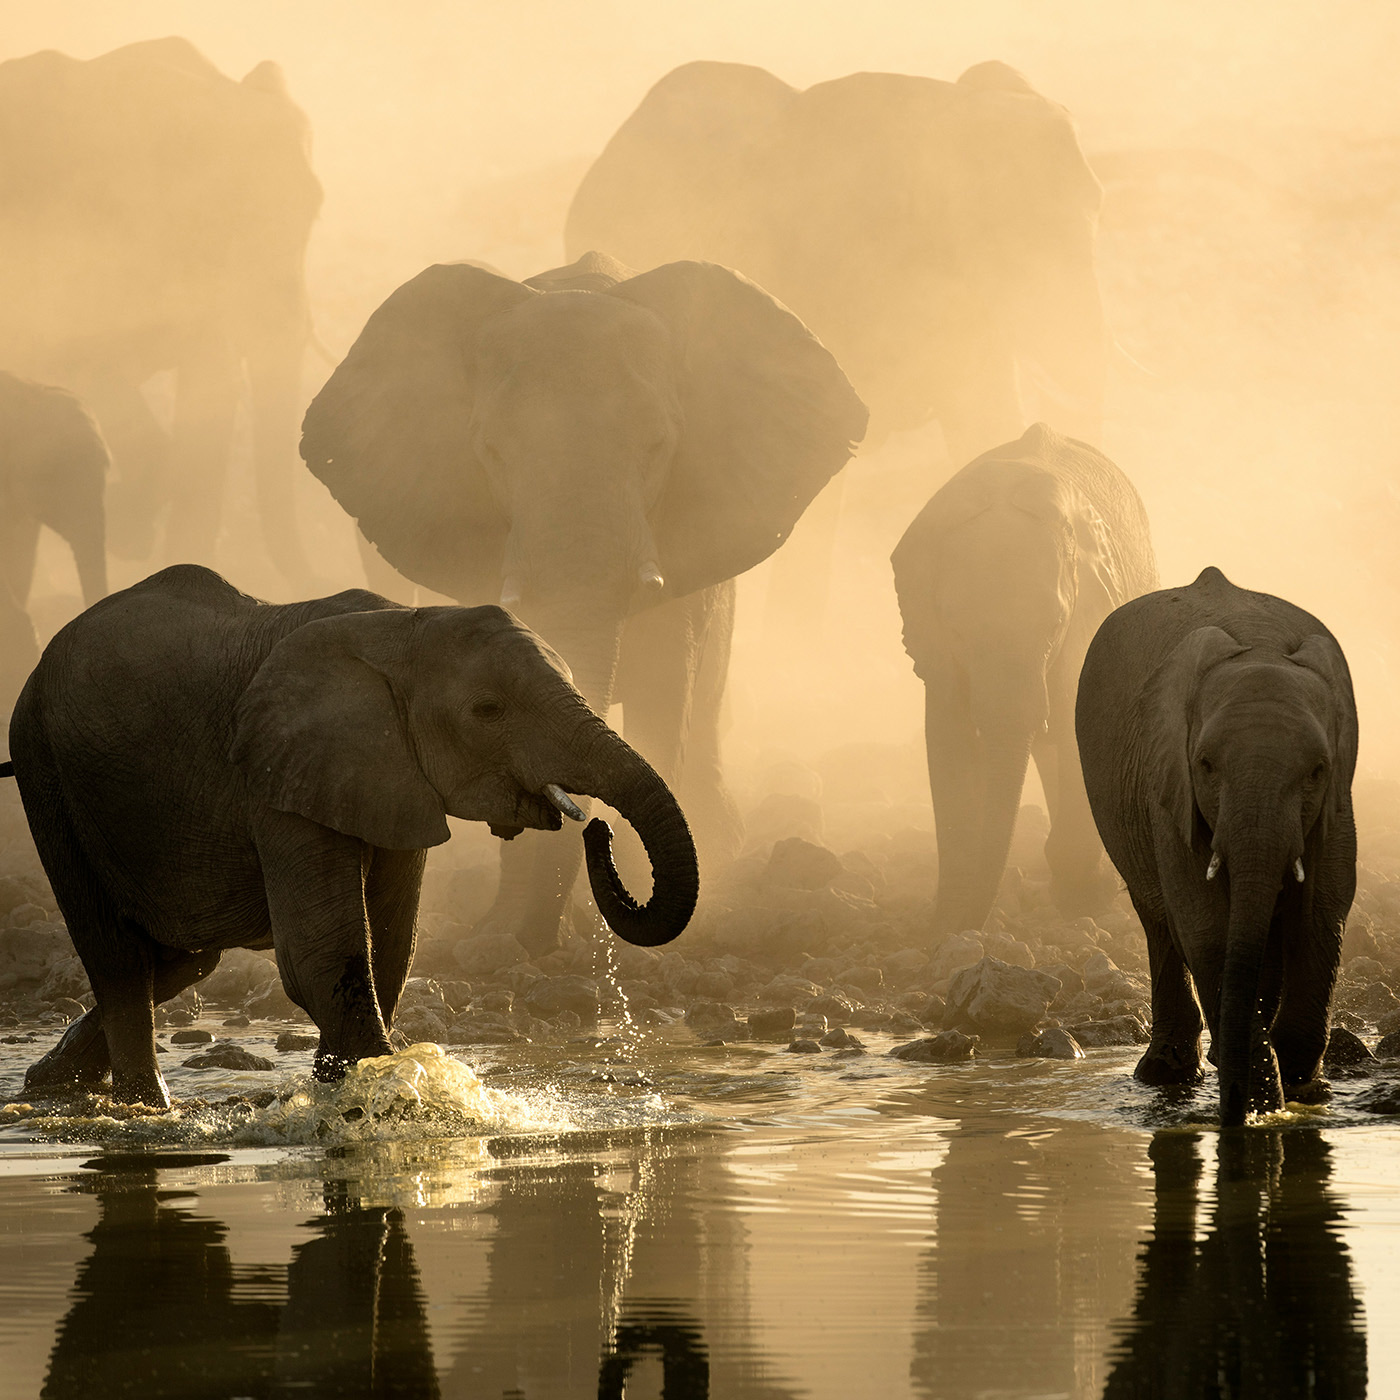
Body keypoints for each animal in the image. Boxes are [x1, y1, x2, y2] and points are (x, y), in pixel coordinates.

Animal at [4, 563, 697, 1108]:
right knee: (120, 959)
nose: (600, 828)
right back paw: (146, 1109)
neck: (403, 627)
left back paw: (49, 1086)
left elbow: (391, 947)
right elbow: (321, 954)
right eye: (487, 710)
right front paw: (383, 1100)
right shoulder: (276, 774)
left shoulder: (389, 776)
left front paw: (346, 1089)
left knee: (180, 960)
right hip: (44, 765)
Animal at [891, 423, 1158, 938]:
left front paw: (1084, 900)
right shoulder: (939, 651)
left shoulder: (1086, 621)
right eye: (957, 629)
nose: (966, 929)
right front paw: (947, 923)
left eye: (1054, 625)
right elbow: (949, 740)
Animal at [1075, 567, 1358, 1125]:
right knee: (1159, 917)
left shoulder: (1338, 798)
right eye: (1206, 764)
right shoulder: (1169, 785)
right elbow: (1204, 921)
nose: (1231, 1115)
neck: (1260, 646)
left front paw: (1300, 1091)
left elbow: (1324, 909)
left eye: (1317, 770)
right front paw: (1259, 1105)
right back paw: (1167, 1074)